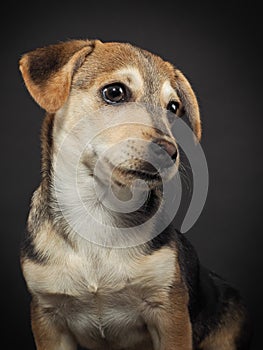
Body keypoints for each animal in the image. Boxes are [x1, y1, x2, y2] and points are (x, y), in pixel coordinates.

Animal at [19, 39, 252, 348]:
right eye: (114, 92)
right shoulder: (47, 316)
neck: (98, 210)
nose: (169, 152)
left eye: (173, 108)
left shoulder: (169, 313)